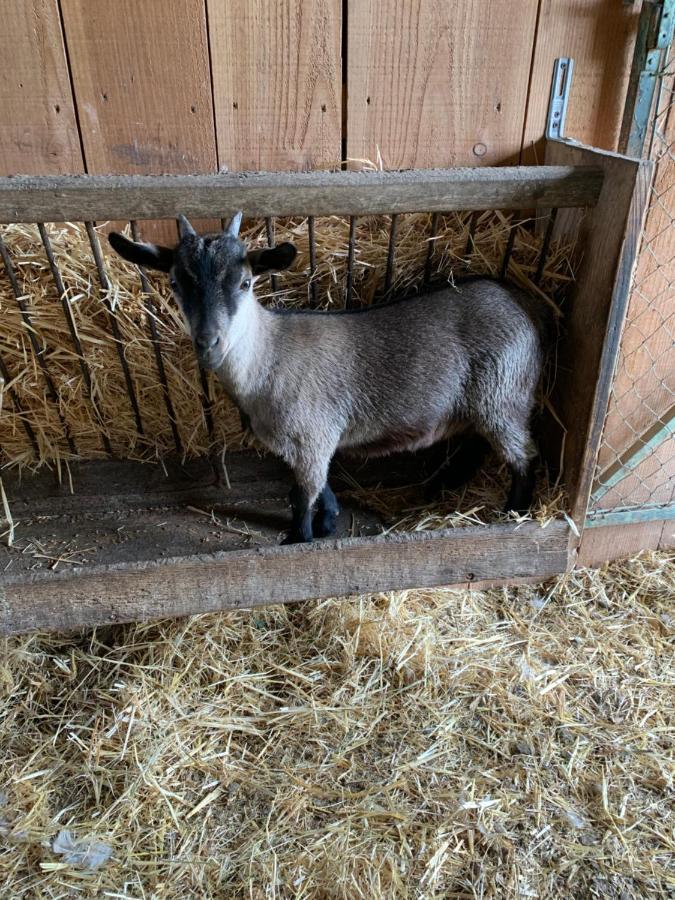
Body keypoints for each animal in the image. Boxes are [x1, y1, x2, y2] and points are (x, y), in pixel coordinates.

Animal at [109, 214, 556, 544]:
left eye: (245, 282)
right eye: (174, 282)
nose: (208, 343)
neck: (268, 357)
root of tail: (523, 302)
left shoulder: (313, 433)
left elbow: (304, 493)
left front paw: (300, 537)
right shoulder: (305, 441)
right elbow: (317, 484)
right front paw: (328, 521)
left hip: (504, 393)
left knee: (523, 454)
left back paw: (515, 510)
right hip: (482, 402)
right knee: (476, 446)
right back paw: (445, 485)